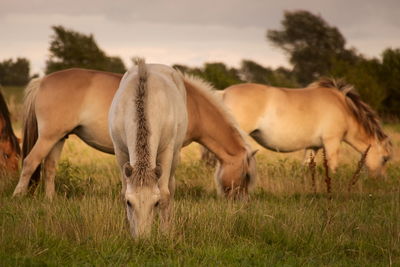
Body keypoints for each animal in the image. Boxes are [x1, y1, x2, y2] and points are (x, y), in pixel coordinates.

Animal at [12, 67, 256, 199]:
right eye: (246, 175)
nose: (240, 202)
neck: (191, 103)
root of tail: (42, 80)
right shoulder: (172, 150)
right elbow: (168, 179)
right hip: (48, 137)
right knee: (30, 162)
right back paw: (18, 196)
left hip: (58, 138)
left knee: (49, 168)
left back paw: (50, 199)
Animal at [108, 59, 188, 239]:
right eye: (129, 203)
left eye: (156, 203)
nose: (142, 240)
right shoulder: (120, 152)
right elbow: (123, 191)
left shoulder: (167, 151)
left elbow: (165, 193)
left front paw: (165, 234)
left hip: (175, 155)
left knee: (171, 186)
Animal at [214, 78, 392, 177]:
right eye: (385, 158)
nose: (380, 180)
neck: (343, 107)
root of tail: (224, 92)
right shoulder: (332, 142)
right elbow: (333, 166)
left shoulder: (313, 147)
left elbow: (306, 167)